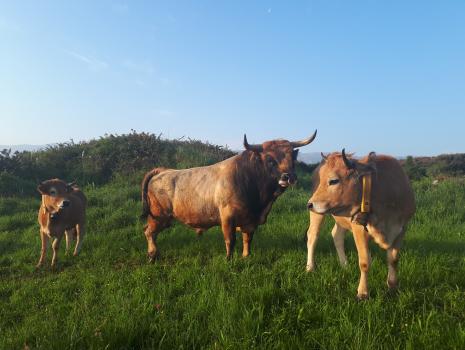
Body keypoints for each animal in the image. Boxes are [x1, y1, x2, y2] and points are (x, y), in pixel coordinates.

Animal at [140, 133, 318, 262]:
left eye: (292, 157)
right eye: (269, 159)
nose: (289, 177)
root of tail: (163, 171)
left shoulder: (250, 221)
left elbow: (247, 239)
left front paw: (246, 256)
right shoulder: (227, 218)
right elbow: (230, 240)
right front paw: (228, 259)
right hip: (159, 216)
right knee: (149, 232)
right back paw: (152, 255)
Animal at [306, 149, 416, 300]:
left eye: (333, 181)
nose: (309, 204)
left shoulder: (401, 229)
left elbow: (393, 259)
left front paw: (393, 287)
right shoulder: (359, 228)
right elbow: (364, 262)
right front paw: (363, 293)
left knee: (337, 235)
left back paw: (344, 264)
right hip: (318, 214)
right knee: (312, 235)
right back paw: (310, 267)